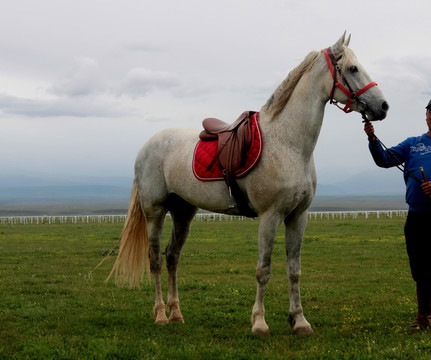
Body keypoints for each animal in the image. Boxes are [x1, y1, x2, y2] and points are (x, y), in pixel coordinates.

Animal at [108, 33, 388, 334]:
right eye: (352, 69)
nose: (383, 106)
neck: (289, 143)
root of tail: (147, 146)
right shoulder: (270, 216)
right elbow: (263, 270)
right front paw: (260, 323)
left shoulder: (298, 216)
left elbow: (294, 270)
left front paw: (299, 321)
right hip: (156, 211)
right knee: (157, 260)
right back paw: (161, 314)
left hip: (184, 211)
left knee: (172, 257)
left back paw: (176, 314)